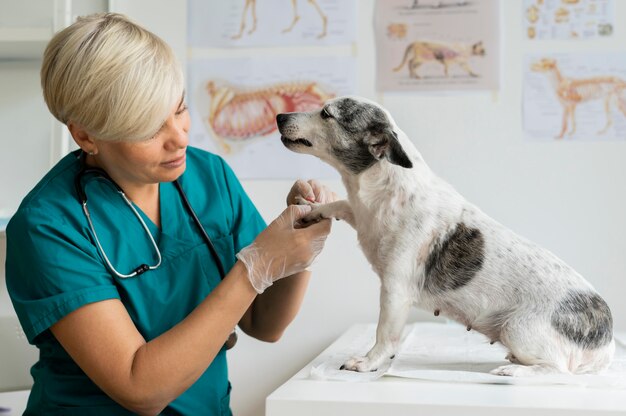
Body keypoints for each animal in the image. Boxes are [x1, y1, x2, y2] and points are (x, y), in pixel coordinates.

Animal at [276, 96, 612, 376]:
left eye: (326, 113)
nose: (279, 116)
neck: (379, 193)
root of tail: (606, 339)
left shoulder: (395, 290)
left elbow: (384, 335)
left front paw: (369, 362)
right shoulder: (360, 214)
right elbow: (340, 205)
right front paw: (311, 210)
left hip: (518, 329)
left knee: (557, 369)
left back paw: (514, 371)